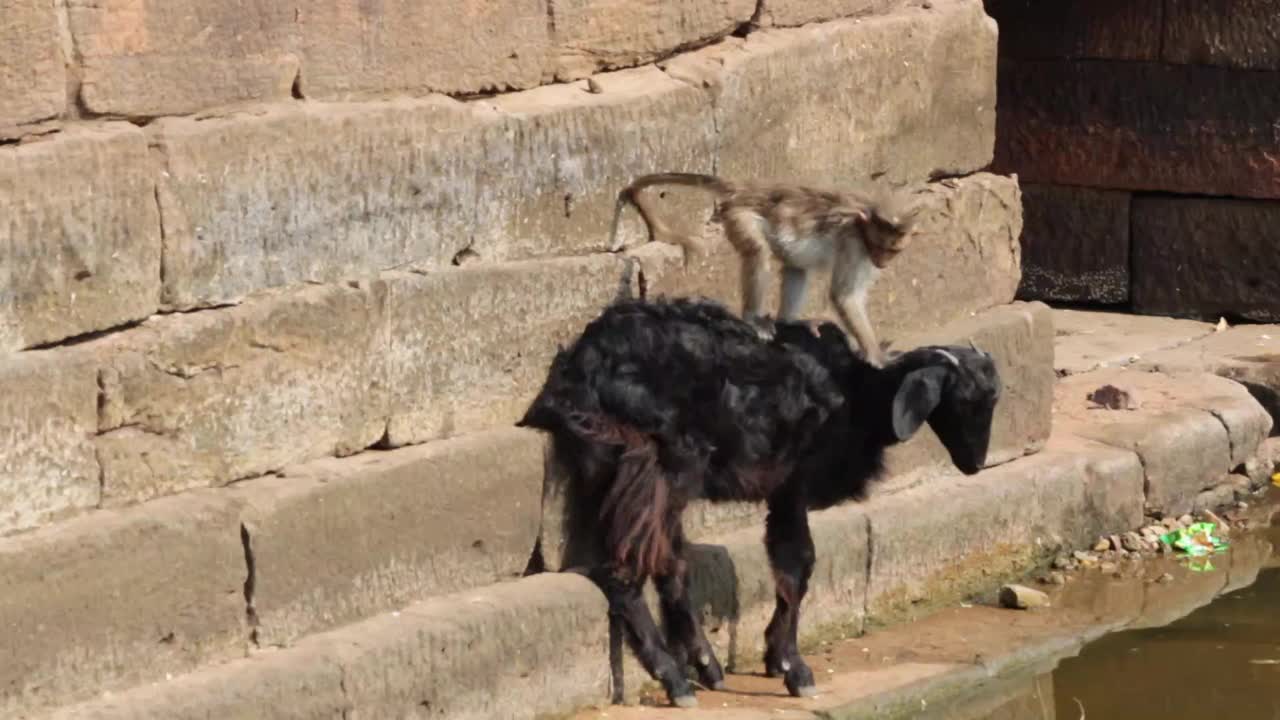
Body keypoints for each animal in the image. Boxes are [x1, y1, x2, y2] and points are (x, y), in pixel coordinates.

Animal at [517, 295, 998, 707]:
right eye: (966, 400)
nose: (975, 464)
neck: (856, 394)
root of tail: (578, 371)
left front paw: (773, 658)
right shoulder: (791, 486)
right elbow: (797, 566)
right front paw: (792, 667)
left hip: (625, 473)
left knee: (664, 561)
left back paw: (705, 666)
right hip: (657, 465)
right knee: (627, 567)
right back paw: (674, 678)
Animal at [609, 172, 921, 363]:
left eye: (893, 250)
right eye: (880, 245)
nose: (882, 261)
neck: (863, 224)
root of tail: (749, 190)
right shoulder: (854, 246)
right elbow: (845, 296)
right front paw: (877, 356)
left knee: (796, 267)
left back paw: (789, 322)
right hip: (739, 215)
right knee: (758, 253)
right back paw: (752, 319)